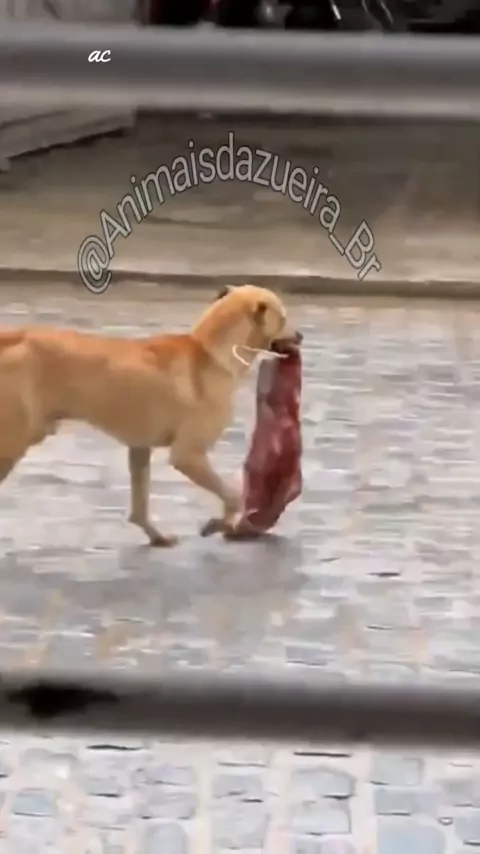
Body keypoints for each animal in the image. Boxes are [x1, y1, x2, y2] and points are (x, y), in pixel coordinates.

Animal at [0, 284, 299, 545]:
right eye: (283, 317)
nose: (301, 336)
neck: (210, 352)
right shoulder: (188, 456)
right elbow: (234, 497)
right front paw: (219, 525)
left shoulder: (139, 450)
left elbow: (140, 506)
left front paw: (157, 536)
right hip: (12, 444)